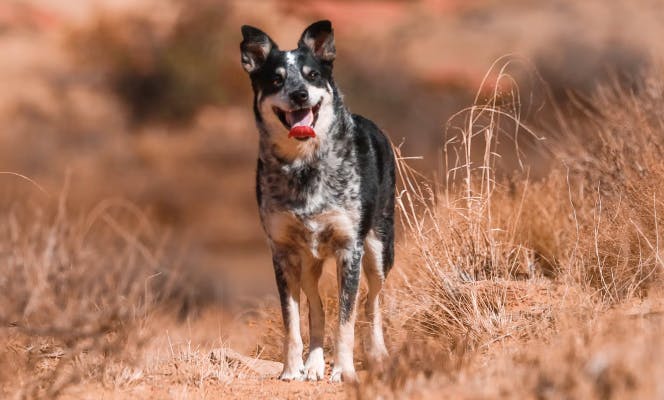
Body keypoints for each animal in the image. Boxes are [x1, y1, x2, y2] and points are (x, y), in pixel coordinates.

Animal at [240, 20, 392, 382]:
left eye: (312, 75)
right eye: (276, 79)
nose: (299, 94)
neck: (304, 164)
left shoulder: (350, 249)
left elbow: (346, 320)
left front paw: (344, 371)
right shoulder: (282, 253)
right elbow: (293, 320)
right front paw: (291, 369)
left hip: (378, 251)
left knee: (372, 301)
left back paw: (377, 355)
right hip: (309, 262)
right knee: (317, 307)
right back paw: (313, 364)